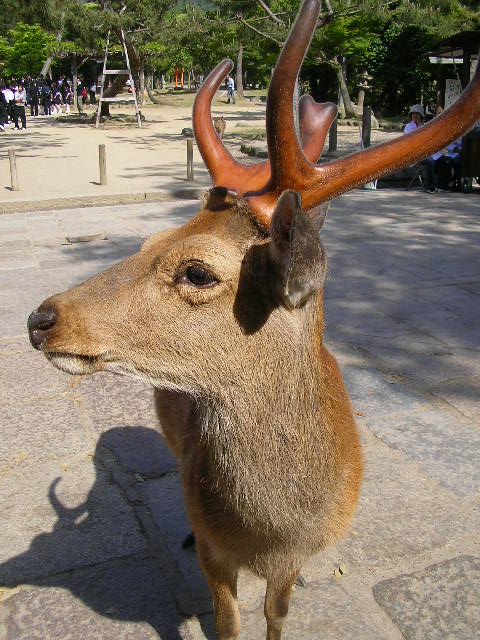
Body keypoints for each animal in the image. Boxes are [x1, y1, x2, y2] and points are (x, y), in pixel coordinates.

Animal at [27, 1, 480, 640]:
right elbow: (227, 620)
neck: (273, 531)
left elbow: (275, 618)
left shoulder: (296, 559)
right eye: (148, 241)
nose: (41, 318)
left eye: (197, 272)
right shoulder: (219, 556)